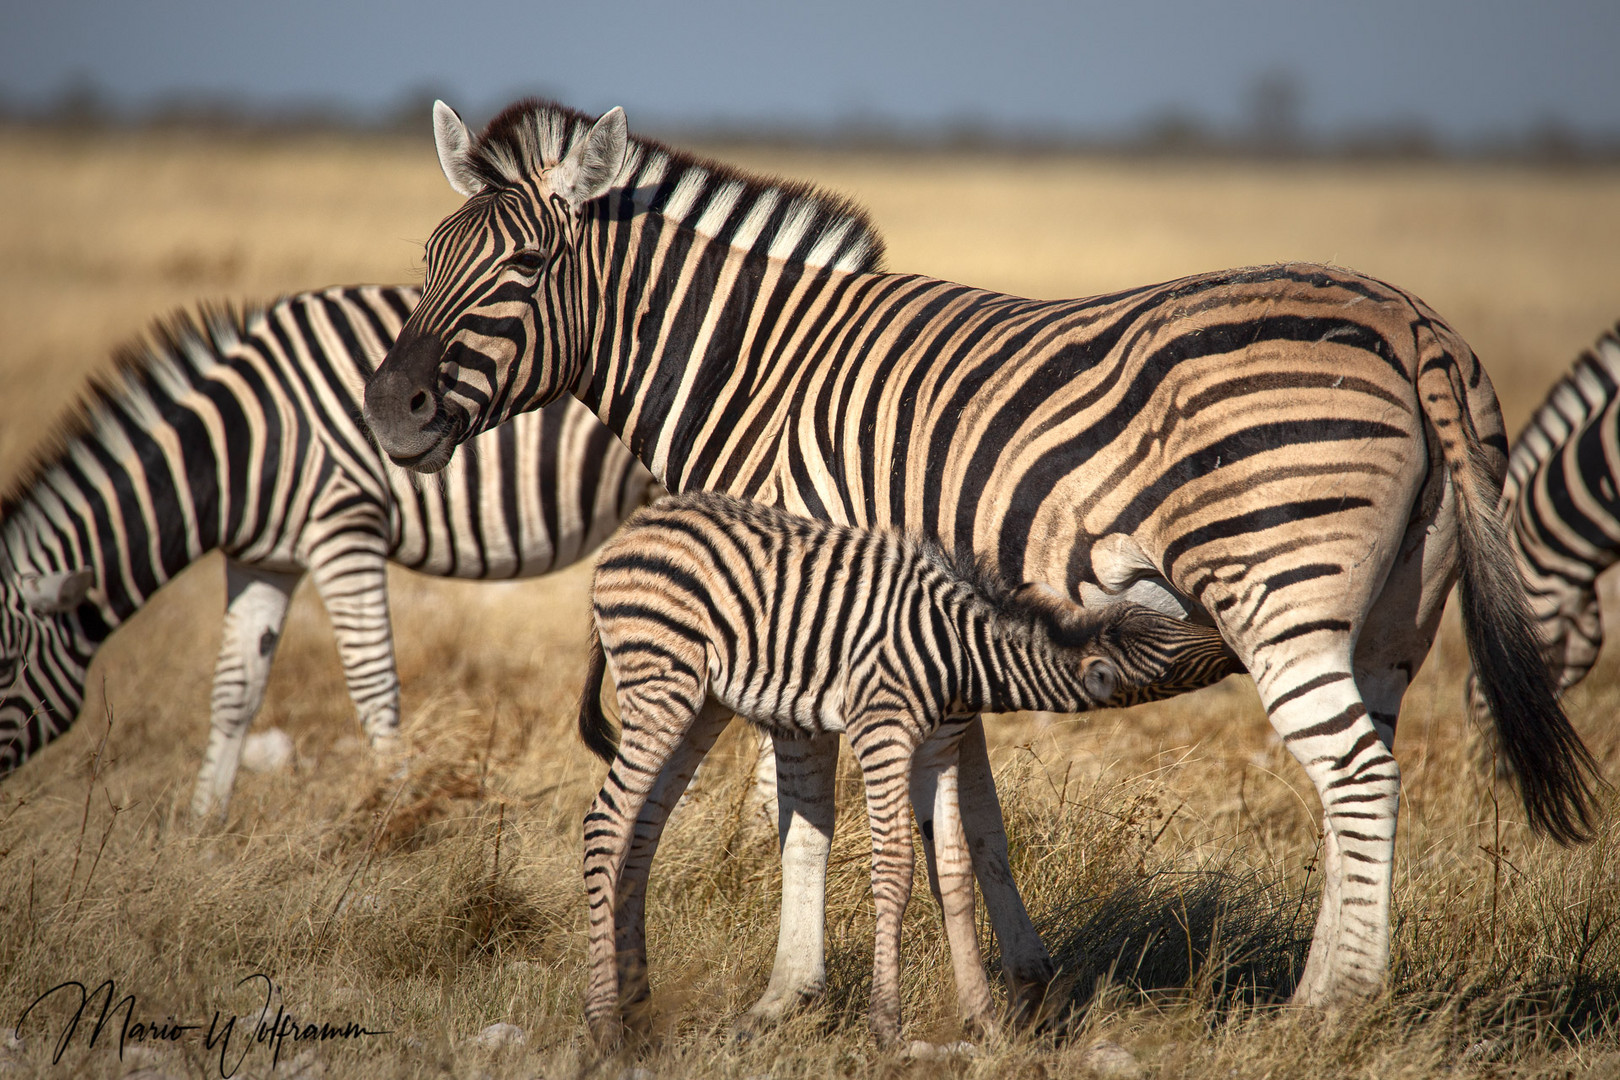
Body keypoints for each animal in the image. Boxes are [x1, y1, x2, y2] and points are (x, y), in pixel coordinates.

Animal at [0, 284, 651, 819]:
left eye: (4, 666)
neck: (242, 444)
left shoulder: (345, 523)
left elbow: (371, 680)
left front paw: (398, 815)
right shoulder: (262, 558)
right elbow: (235, 690)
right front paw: (203, 826)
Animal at [576, 492, 1231, 1049]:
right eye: (1174, 650)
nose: (1229, 636)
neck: (964, 654)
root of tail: (632, 530)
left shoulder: (937, 750)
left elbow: (956, 868)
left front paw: (983, 1022)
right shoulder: (882, 731)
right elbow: (896, 865)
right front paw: (887, 1027)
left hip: (701, 702)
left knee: (640, 832)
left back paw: (637, 1014)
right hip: (662, 684)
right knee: (606, 824)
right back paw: (605, 1026)